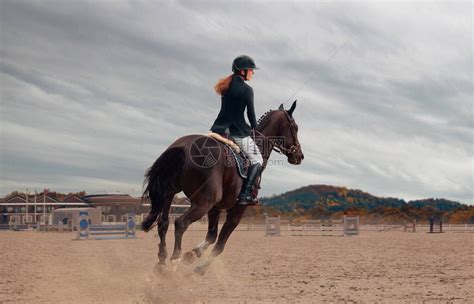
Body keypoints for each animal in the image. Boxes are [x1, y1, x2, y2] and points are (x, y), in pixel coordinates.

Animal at [141, 100, 304, 276]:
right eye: (295, 127)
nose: (300, 156)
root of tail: (182, 146)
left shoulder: (216, 208)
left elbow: (212, 235)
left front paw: (192, 254)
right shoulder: (238, 209)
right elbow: (220, 244)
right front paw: (199, 268)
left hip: (170, 193)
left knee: (163, 222)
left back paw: (161, 263)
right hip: (203, 203)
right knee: (180, 223)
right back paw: (174, 262)